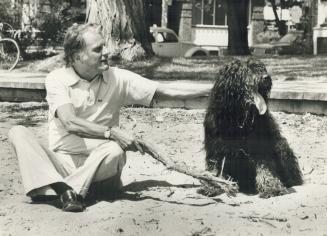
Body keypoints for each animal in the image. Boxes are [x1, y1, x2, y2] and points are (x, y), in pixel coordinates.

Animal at [205, 58, 304, 197]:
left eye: (261, 68)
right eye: (246, 71)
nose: (266, 78)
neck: (240, 118)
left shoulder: (262, 145)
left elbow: (265, 168)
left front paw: (272, 187)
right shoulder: (215, 147)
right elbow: (214, 168)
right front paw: (213, 185)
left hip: (281, 145)